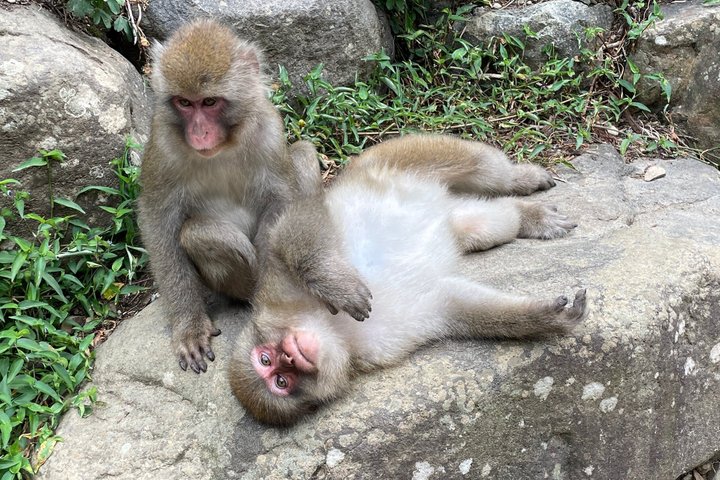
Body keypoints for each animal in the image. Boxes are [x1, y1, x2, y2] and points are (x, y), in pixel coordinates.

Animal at [137, 20, 322, 374]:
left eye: (209, 102)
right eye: (184, 102)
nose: (199, 133)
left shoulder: (268, 130)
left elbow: (279, 202)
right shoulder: (162, 145)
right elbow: (159, 221)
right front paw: (189, 325)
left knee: (304, 154)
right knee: (199, 234)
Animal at [228, 134, 588, 426]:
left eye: (267, 360)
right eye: (280, 381)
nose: (290, 357)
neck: (328, 328)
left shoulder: (274, 287)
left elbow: (294, 227)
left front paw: (336, 286)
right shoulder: (383, 343)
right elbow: (453, 303)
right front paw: (543, 317)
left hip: (393, 158)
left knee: (483, 166)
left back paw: (520, 177)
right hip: (454, 211)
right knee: (487, 223)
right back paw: (527, 217)